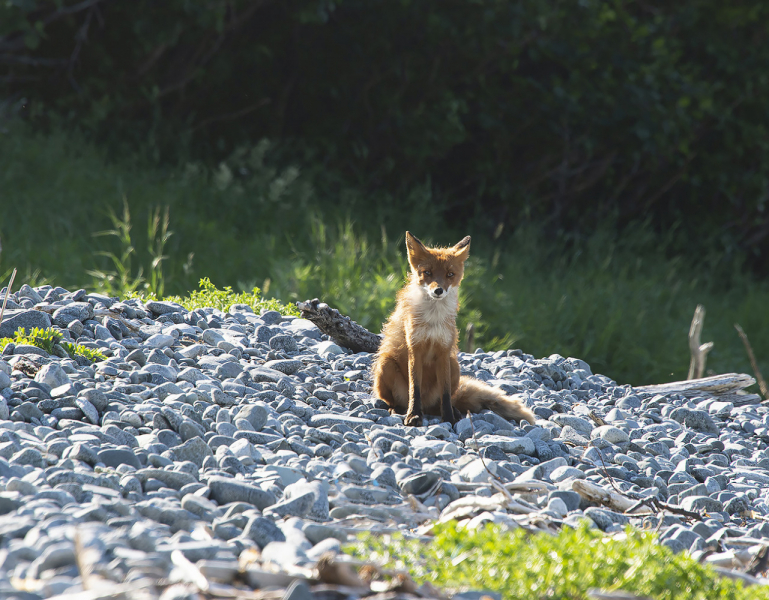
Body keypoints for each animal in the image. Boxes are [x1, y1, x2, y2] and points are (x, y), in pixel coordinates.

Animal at [372, 233, 536, 426]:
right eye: (427, 273)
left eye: (450, 274)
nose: (438, 290)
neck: (433, 320)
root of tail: (427, 405)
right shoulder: (415, 348)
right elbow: (415, 389)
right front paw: (413, 415)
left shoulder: (444, 351)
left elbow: (445, 394)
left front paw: (449, 418)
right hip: (385, 364)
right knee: (395, 400)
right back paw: (397, 409)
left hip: (454, 366)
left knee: (444, 401)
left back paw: (451, 411)